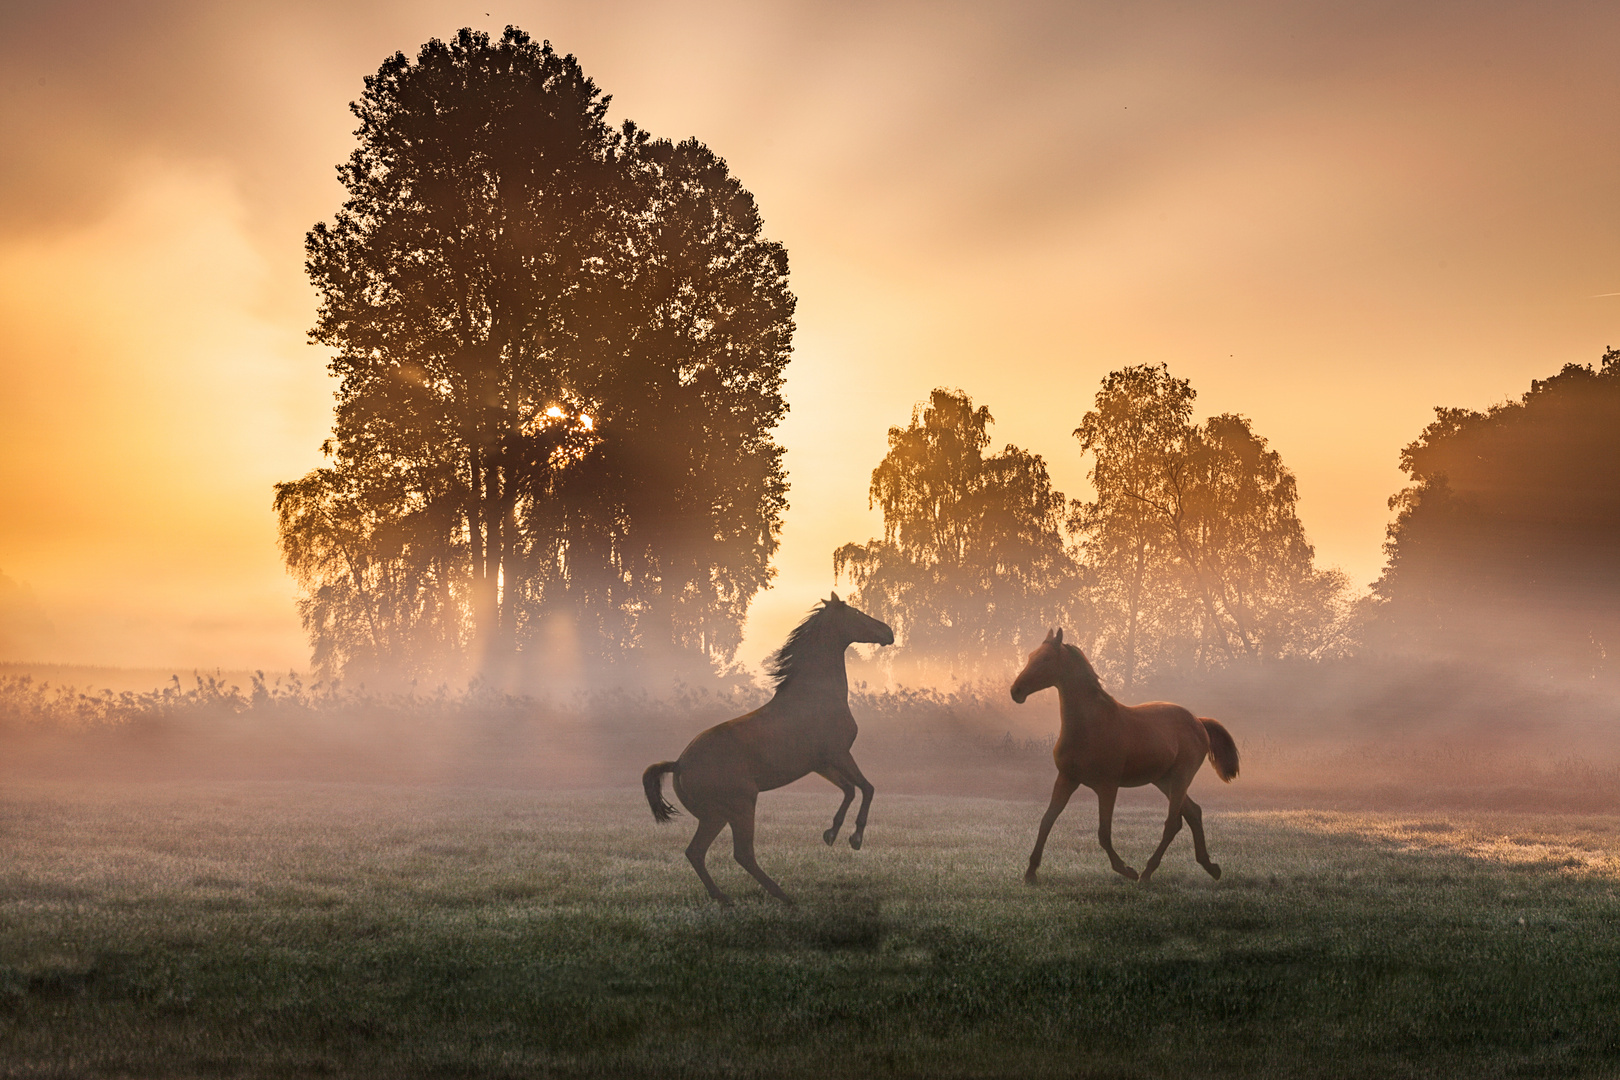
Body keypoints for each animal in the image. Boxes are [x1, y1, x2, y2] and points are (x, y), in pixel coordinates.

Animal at [644, 595, 900, 906]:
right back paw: (782, 896)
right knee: (741, 853)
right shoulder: (839, 755)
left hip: (715, 816)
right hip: (740, 807)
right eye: (857, 613)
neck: (816, 695)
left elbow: (850, 790)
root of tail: (679, 763)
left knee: (695, 852)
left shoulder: (822, 764)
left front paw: (831, 833)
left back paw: (724, 898)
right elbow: (867, 788)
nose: (888, 632)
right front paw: (855, 839)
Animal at [1010, 628, 1237, 880]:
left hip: (1180, 778)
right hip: (1164, 780)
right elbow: (1046, 821)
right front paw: (1030, 872)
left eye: (1046, 659)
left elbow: (1104, 833)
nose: (1016, 691)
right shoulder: (1067, 779)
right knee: (1192, 813)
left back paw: (1146, 873)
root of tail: (1198, 721)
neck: (1090, 726)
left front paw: (1127, 870)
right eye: (1031, 656)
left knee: (1173, 822)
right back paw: (1211, 867)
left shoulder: (1107, 786)